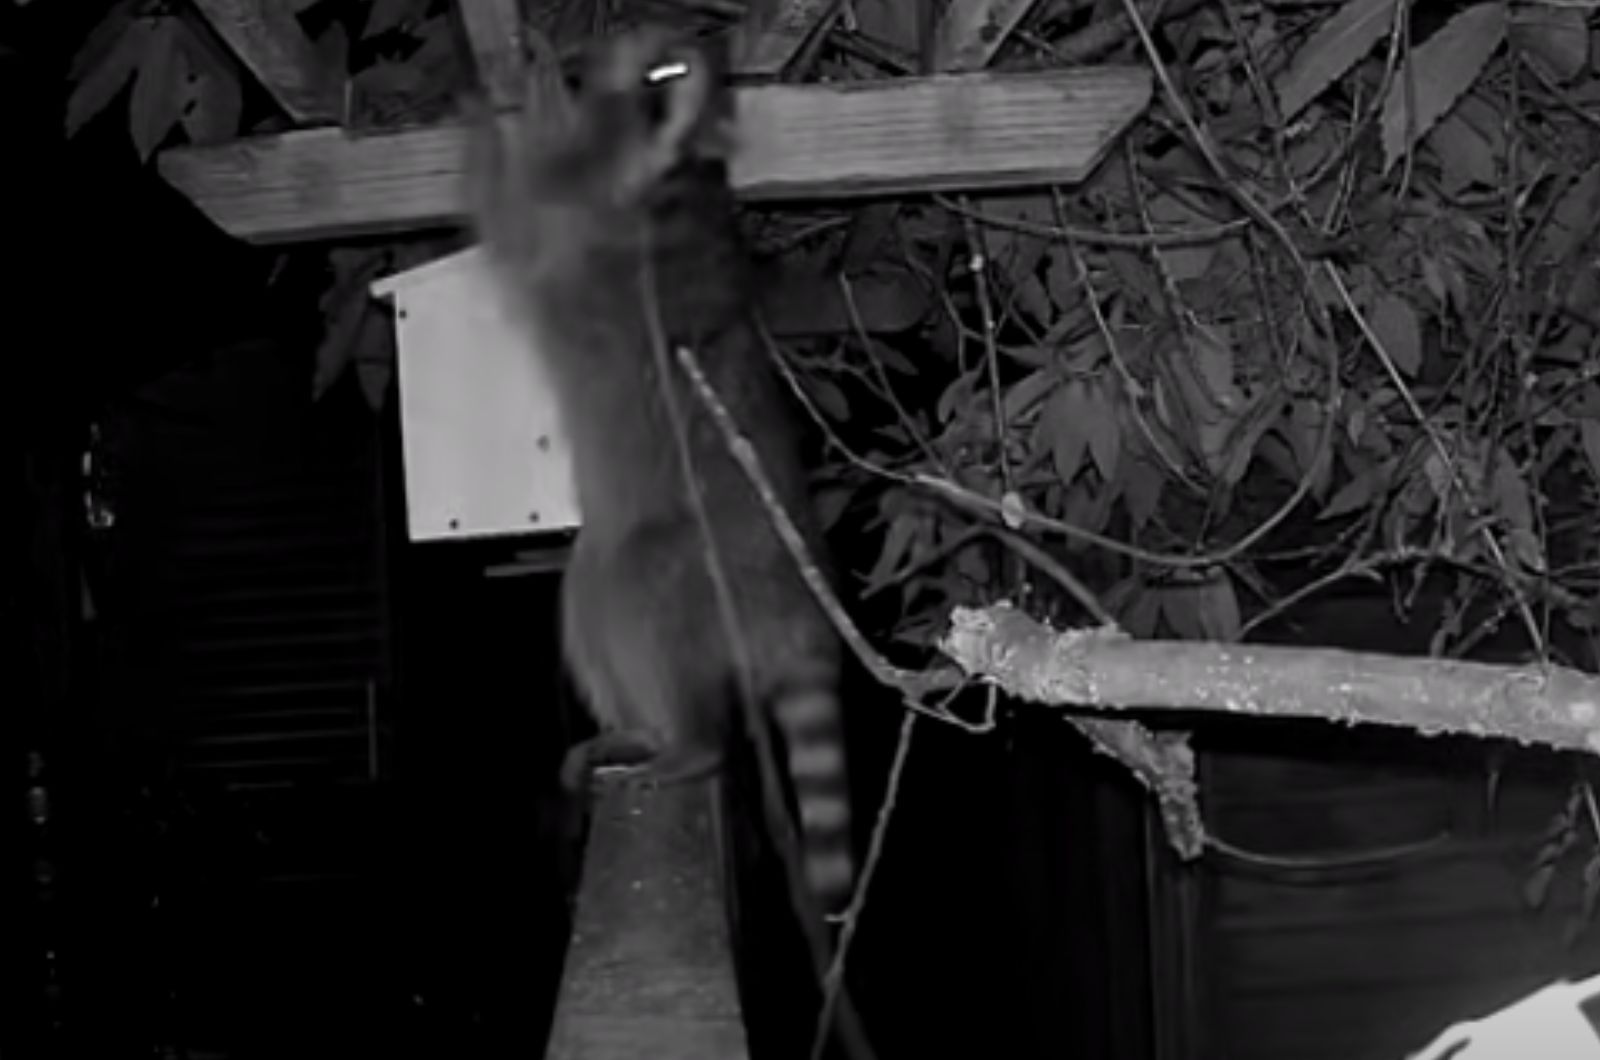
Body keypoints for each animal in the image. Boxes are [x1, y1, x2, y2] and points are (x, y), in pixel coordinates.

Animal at [467, 27, 857, 922]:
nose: (575, 64)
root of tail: (797, 603)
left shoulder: (586, 221)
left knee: (641, 589)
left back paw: (690, 743)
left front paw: (501, 116)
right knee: (587, 595)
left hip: (698, 560)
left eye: (648, 65)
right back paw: (643, 727)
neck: (684, 180)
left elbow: (516, 211)